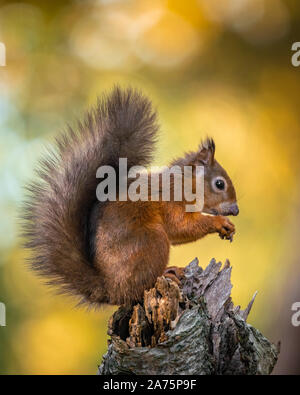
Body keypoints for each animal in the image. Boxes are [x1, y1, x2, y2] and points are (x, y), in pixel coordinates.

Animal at [22, 87, 239, 306]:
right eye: (219, 184)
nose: (236, 210)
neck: (184, 183)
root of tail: (111, 289)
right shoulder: (171, 200)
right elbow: (181, 226)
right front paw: (220, 223)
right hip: (152, 241)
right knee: (140, 286)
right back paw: (167, 273)